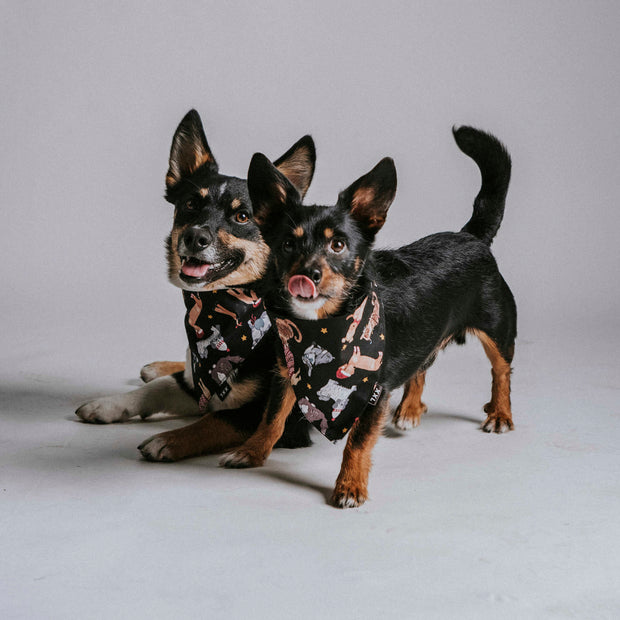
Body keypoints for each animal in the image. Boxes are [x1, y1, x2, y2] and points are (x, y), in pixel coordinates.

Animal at [77, 110, 318, 460]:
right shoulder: (200, 385)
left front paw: (168, 440)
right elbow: (161, 388)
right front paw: (107, 405)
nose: (194, 237)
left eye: (242, 216)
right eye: (191, 204)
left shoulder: (279, 420)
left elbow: (215, 418)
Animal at [220, 126, 516, 508]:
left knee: (501, 371)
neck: (322, 326)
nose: (308, 274)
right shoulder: (286, 373)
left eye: (338, 245)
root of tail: (471, 236)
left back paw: (500, 413)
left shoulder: (374, 389)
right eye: (287, 244)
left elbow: (357, 441)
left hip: (498, 329)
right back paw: (410, 410)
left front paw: (349, 485)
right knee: (422, 364)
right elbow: (271, 418)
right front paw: (252, 452)